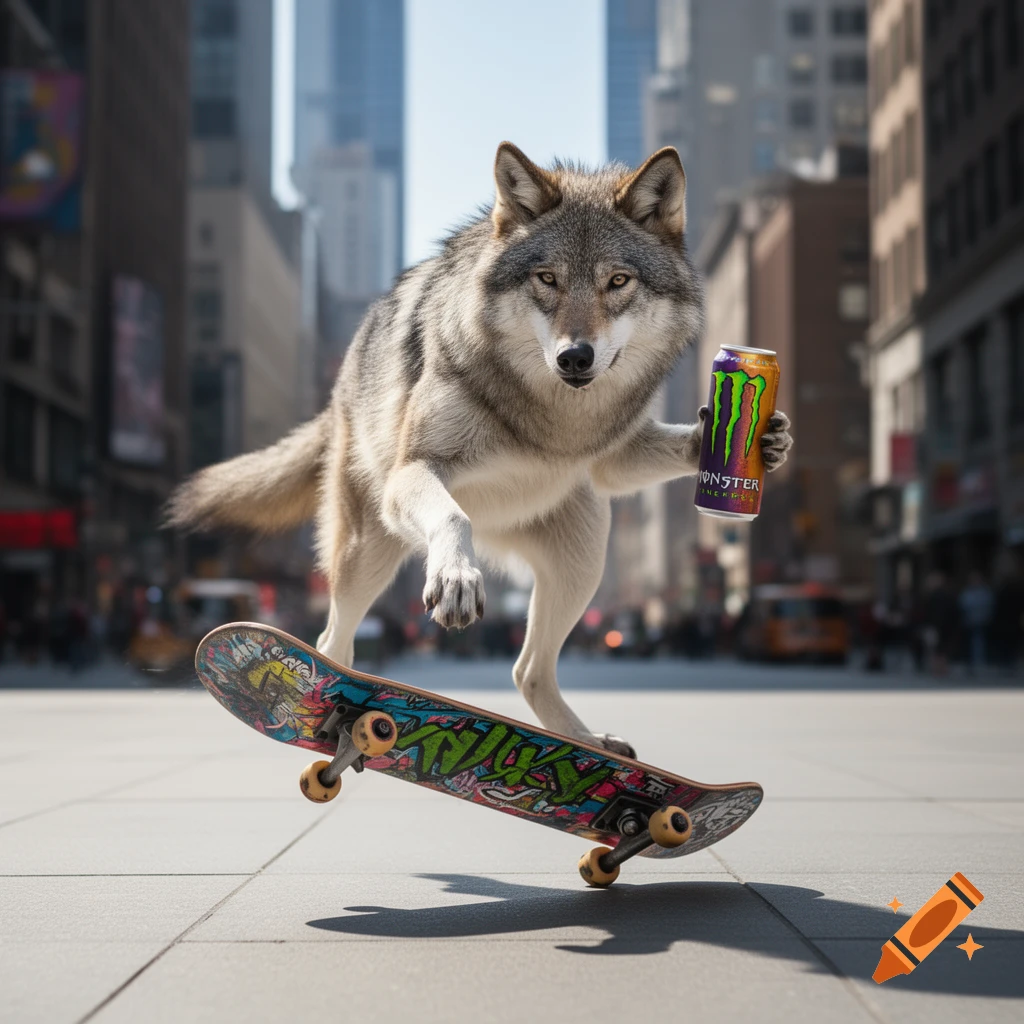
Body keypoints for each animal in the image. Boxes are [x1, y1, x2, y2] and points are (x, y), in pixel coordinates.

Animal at [167, 143, 792, 756]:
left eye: (618, 282)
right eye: (547, 278)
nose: (574, 357)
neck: (551, 416)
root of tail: (341, 388)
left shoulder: (610, 456)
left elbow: (651, 453)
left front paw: (756, 439)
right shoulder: (414, 472)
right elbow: (452, 516)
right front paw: (457, 579)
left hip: (584, 557)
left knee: (527, 670)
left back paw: (585, 745)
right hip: (368, 552)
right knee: (332, 643)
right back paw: (328, 713)